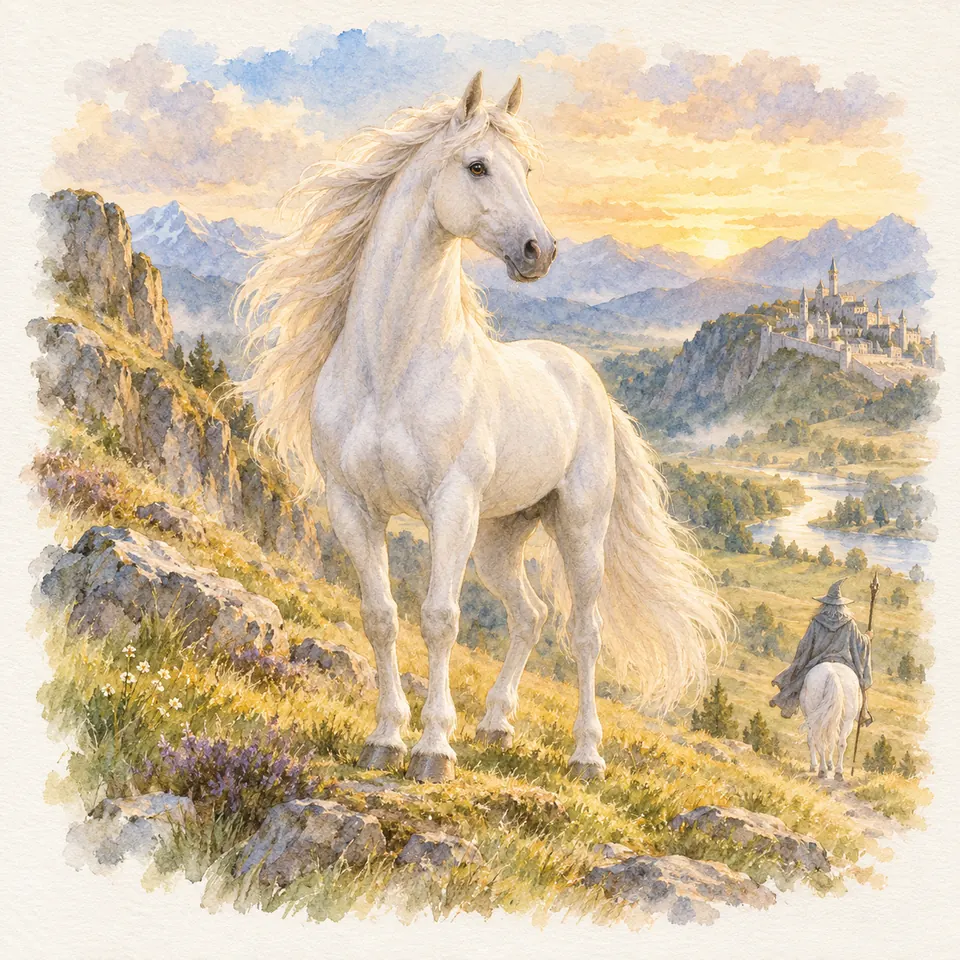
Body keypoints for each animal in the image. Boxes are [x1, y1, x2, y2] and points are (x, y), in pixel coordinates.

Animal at [238, 71, 731, 782]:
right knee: (530, 615)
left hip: (577, 525)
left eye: (525, 169)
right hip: (499, 538)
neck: (392, 369)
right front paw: (385, 738)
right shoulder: (353, 507)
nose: (539, 252)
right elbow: (380, 617)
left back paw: (586, 755)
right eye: (477, 166)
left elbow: (441, 618)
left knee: (584, 631)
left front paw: (432, 750)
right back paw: (497, 723)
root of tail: (586, 380)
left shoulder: (451, 506)